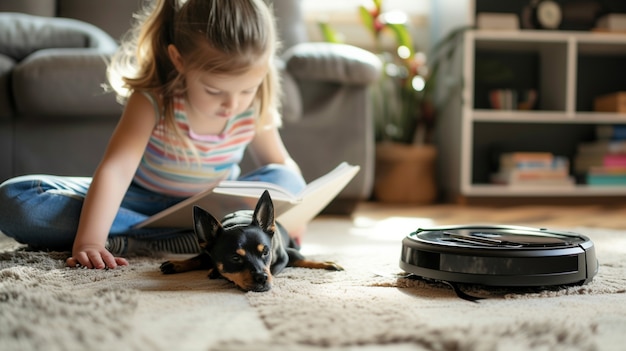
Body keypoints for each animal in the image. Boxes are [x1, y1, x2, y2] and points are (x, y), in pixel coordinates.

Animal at [156, 190, 342, 292]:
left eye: (265, 252)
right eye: (235, 258)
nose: (261, 278)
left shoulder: (284, 257)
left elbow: (281, 267)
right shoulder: (207, 253)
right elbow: (198, 259)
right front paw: (176, 263)